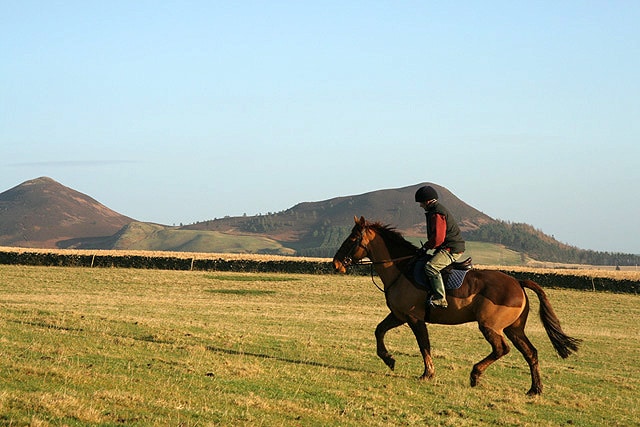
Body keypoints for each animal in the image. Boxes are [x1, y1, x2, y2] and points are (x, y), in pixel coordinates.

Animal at [332, 216, 584, 396]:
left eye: (352, 240)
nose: (335, 264)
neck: (401, 270)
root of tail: (517, 282)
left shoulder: (414, 318)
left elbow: (424, 346)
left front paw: (427, 374)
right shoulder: (398, 315)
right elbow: (379, 331)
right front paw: (389, 359)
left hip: (490, 326)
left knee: (501, 349)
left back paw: (475, 374)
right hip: (515, 329)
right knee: (530, 353)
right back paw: (534, 389)